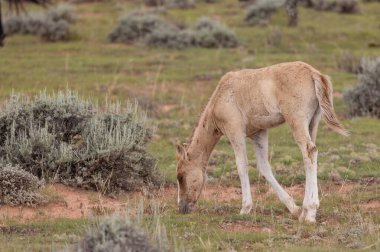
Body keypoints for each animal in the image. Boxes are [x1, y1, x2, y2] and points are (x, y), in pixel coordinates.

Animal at [175, 61, 348, 222]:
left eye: (181, 176)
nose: (181, 207)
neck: (220, 96)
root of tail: (313, 73)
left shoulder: (235, 131)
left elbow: (242, 165)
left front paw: (245, 208)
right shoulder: (258, 133)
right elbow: (263, 166)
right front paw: (294, 209)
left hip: (297, 120)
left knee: (309, 151)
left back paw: (310, 213)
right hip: (313, 122)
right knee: (312, 153)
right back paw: (304, 211)